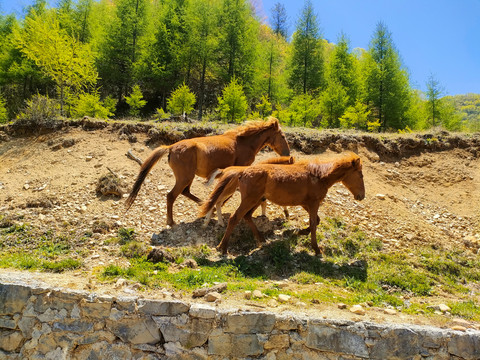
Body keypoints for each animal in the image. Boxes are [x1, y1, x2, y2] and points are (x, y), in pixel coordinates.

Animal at [125, 117, 288, 225]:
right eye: (282, 135)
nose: (287, 153)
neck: (244, 142)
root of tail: (170, 147)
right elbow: (228, 194)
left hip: (187, 178)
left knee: (186, 192)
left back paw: (203, 204)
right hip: (185, 177)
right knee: (171, 196)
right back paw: (171, 222)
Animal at [201, 150, 366, 255]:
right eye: (360, 175)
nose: (361, 196)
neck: (319, 176)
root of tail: (242, 171)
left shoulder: (306, 203)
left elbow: (316, 221)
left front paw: (299, 232)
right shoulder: (313, 203)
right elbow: (314, 223)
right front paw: (316, 249)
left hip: (256, 200)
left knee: (246, 216)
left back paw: (261, 239)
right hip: (249, 200)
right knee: (234, 218)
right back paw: (222, 247)